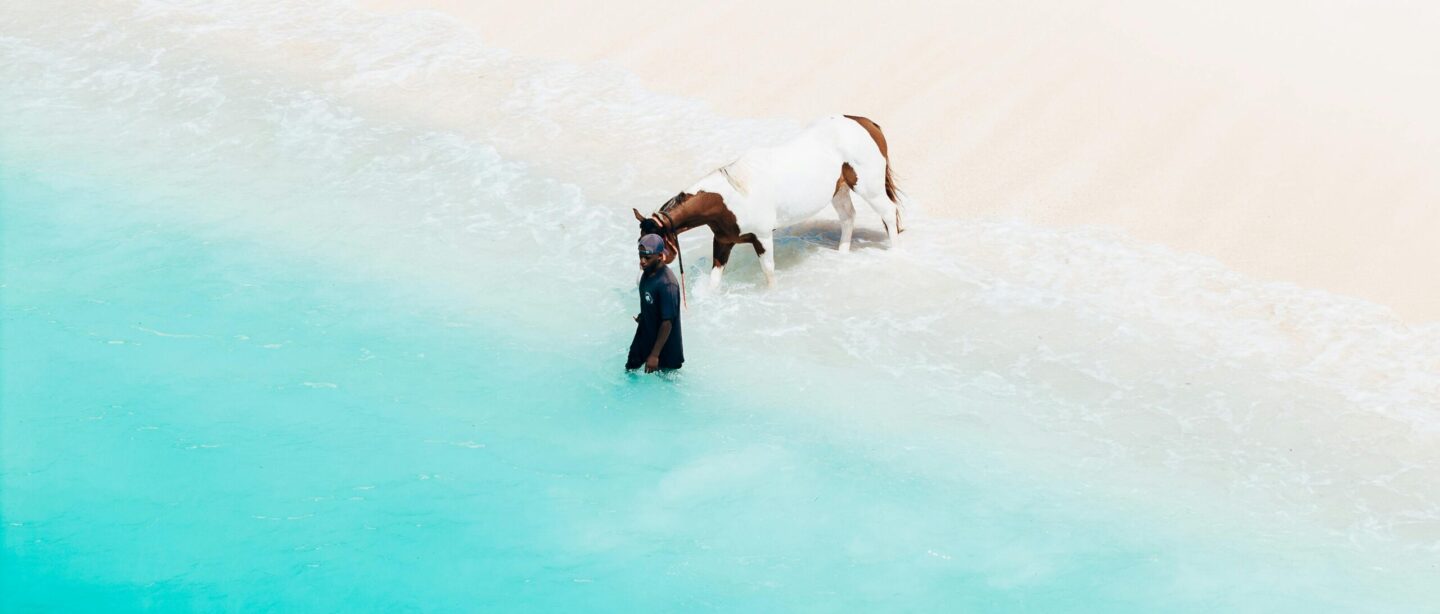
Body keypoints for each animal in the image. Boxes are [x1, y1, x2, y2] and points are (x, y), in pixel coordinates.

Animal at [632, 114, 903, 290]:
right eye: (639, 243)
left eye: (654, 244)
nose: (643, 274)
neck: (731, 198)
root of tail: (866, 123)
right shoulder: (723, 242)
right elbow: (715, 280)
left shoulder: (762, 237)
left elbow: (769, 272)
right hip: (839, 190)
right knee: (848, 218)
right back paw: (842, 254)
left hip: (869, 188)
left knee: (889, 214)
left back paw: (894, 254)